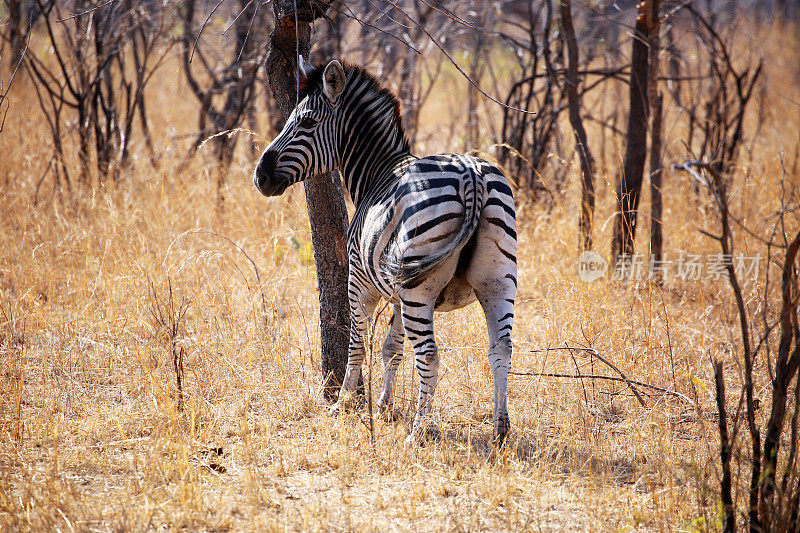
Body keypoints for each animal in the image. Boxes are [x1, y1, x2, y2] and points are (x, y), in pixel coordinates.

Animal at [256, 58, 520, 442]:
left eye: (305, 122)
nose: (259, 177)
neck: (377, 173)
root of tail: (471, 174)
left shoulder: (359, 281)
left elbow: (357, 344)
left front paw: (342, 405)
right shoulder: (396, 294)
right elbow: (391, 348)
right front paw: (383, 406)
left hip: (420, 290)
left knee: (429, 355)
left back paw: (418, 432)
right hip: (496, 281)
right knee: (501, 348)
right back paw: (500, 427)